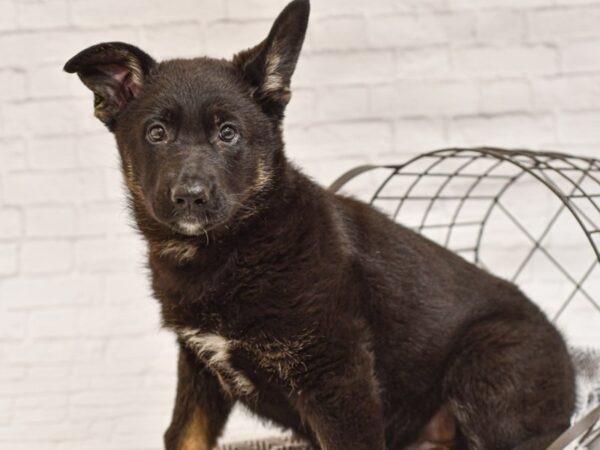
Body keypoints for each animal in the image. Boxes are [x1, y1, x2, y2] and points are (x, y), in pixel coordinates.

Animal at [63, 0, 576, 450]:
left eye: (228, 133)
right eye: (156, 133)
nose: (190, 196)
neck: (232, 249)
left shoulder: (337, 376)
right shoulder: (199, 367)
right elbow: (183, 434)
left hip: (487, 367)